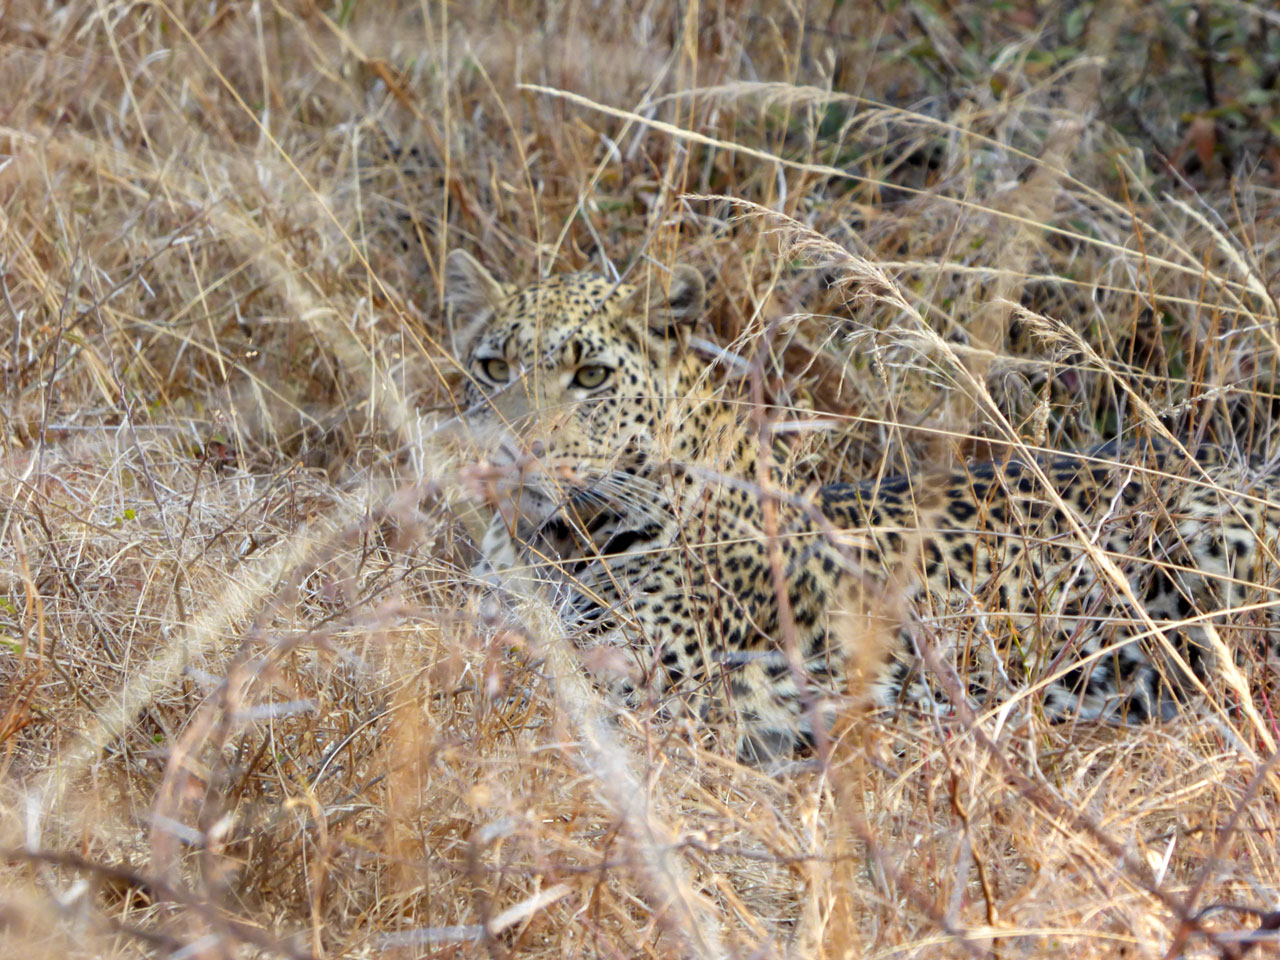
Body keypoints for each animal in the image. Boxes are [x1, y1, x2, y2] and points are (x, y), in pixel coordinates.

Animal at [442, 249, 1280, 768]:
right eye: (493, 367)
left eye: (590, 375)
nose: (513, 452)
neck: (553, 542)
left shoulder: (647, 683)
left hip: (1211, 539)